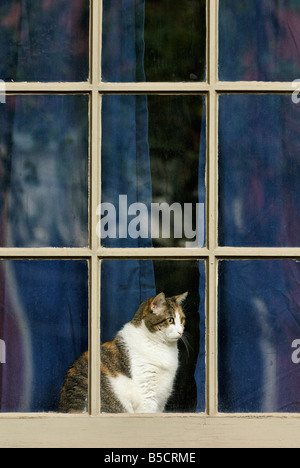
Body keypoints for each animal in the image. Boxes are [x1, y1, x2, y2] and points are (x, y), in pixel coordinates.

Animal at [58, 290, 188, 414]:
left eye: (182, 320)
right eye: (170, 320)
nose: (181, 332)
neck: (162, 346)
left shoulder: (162, 398)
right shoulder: (147, 393)